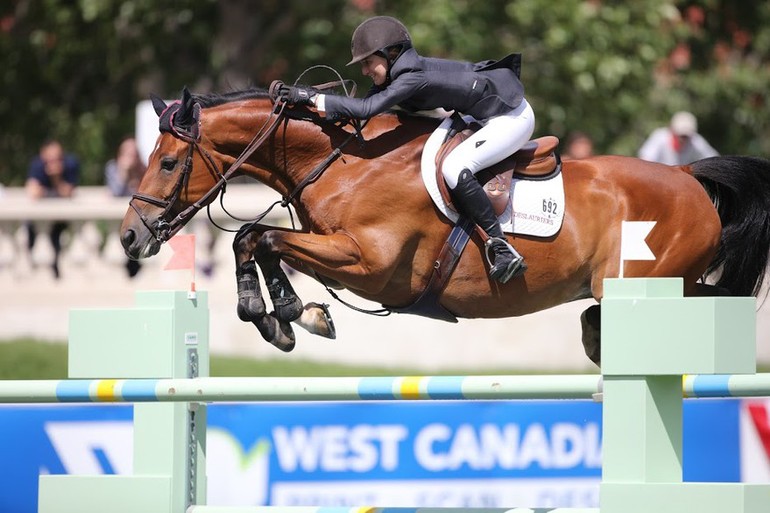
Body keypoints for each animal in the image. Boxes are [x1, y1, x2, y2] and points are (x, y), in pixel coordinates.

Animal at [120, 85, 768, 364]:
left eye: (169, 162)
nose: (130, 236)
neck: (345, 161)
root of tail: (688, 175)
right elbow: (254, 239)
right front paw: (289, 317)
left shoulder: (372, 263)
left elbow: (263, 236)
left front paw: (284, 314)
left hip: (648, 282)